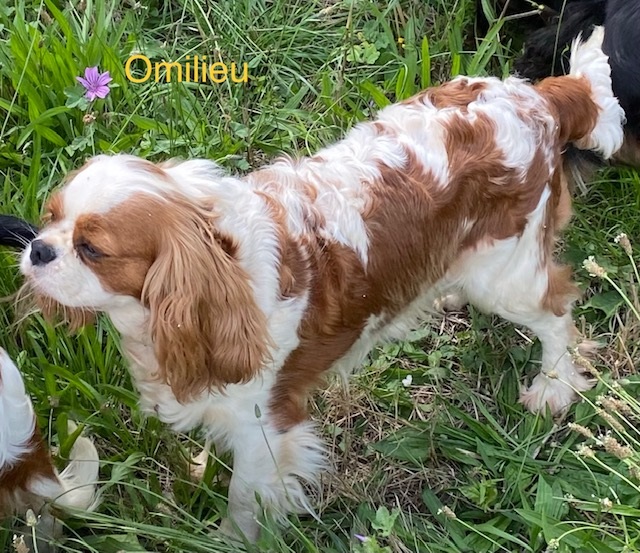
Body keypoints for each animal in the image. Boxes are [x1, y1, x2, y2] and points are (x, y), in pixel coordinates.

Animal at [18, 29, 624, 540]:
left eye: (92, 249)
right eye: (49, 218)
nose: (37, 248)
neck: (221, 266)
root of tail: (538, 97)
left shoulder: (267, 425)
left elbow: (246, 498)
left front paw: (230, 539)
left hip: (505, 277)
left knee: (557, 310)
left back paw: (553, 384)